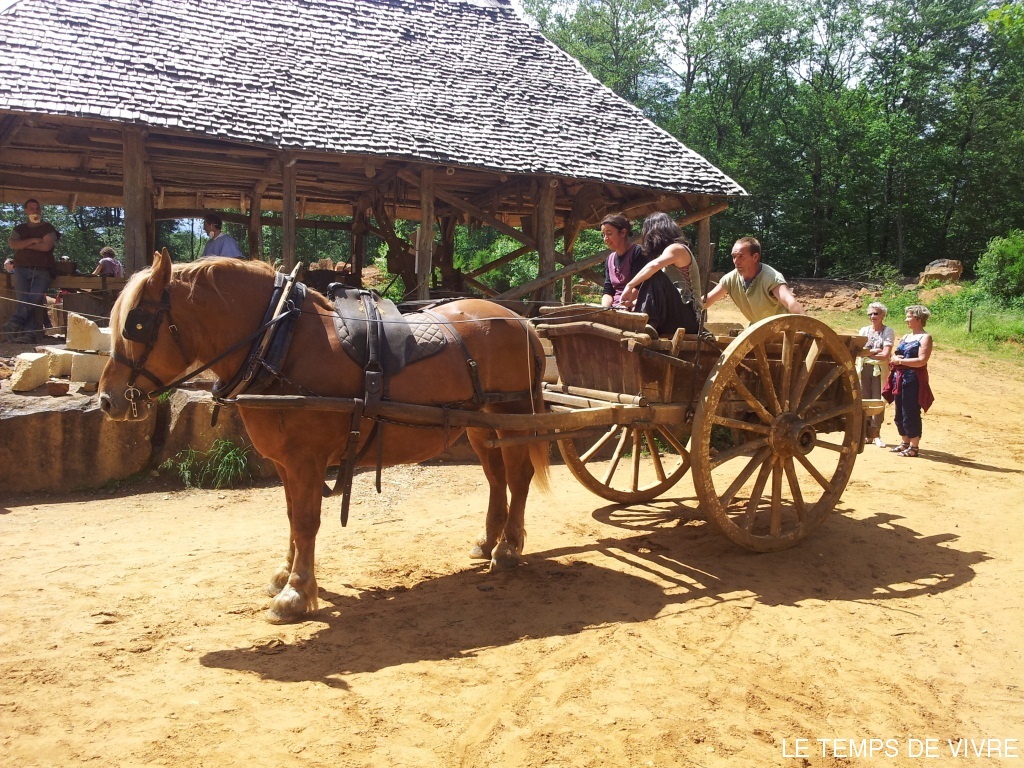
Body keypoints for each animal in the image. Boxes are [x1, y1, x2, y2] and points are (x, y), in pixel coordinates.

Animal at [98, 249, 549, 623]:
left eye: (137, 323)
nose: (107, 399)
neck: (281, 344)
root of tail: (522, 322)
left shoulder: (306, 460)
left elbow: (306, 520)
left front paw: (296, 593)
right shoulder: (286, 463)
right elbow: (291, 517)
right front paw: (285, 574)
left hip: (511, 413)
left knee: (519, 476)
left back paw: (508, 548)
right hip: (481, 424)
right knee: (496, 479)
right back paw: (488, 541)